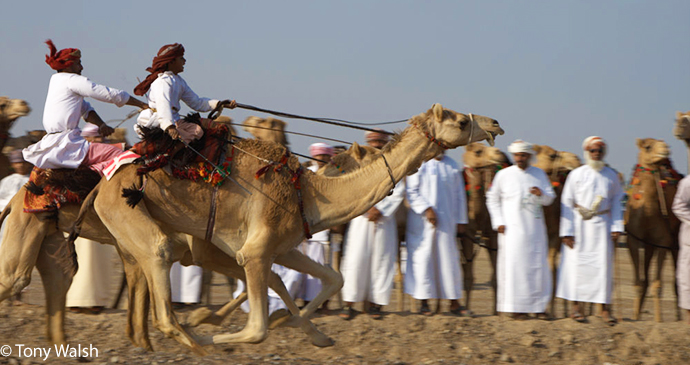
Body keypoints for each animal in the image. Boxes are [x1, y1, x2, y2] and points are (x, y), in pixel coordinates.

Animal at [80, 101, 490, 350]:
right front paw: (216, 329)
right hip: (134, 219)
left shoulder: (284, 244)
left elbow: (333, 277)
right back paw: (193, 336)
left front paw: (309, 331)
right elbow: (255, 329)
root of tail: (103, 184)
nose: (494, 123)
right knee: (162, 277)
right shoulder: (255, 250)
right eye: (460, 121)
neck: (309, 191)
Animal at [456, 141, 510, 312]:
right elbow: (468, 277)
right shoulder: (468, 233)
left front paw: (496, 312)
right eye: (478, 151)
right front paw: (467, 310)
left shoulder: (490, 234)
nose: (500, 153)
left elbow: (495, 277)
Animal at [620, 138, 680, 320]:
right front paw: (635, 318)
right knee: (646, 279)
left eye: (664, 143)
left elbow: (658, 285)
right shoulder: (633, 240)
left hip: (675, 241)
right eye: (647, 146)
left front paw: (658, 321)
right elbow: (639, 283)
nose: (665, 149)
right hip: (648, 246)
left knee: (676, 282)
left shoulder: (663, 242)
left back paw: (680, 318)